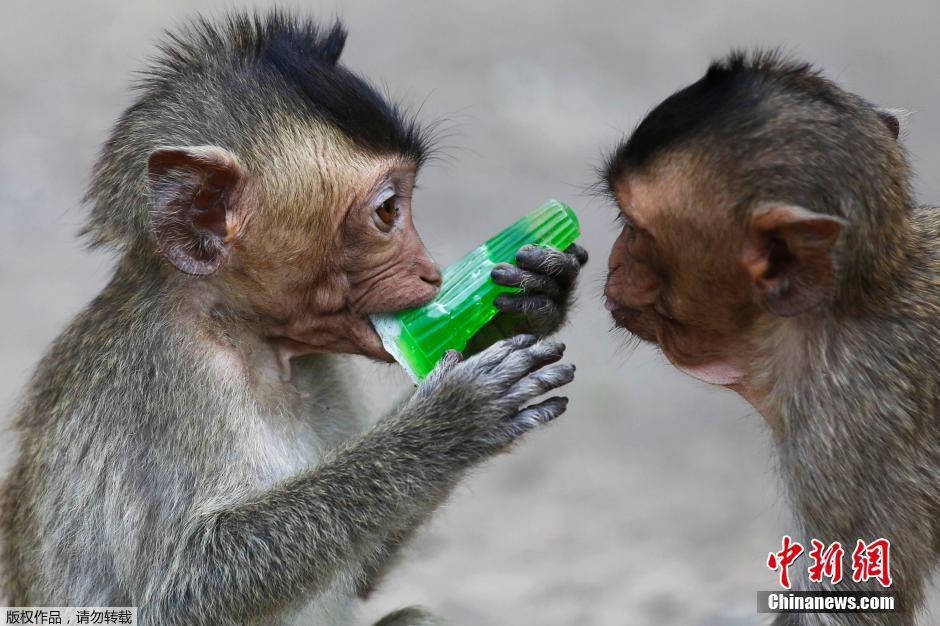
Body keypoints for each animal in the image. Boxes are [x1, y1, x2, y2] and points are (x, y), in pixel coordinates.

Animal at [1, 13, 588, 624]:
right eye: (388, 211)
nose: (431, 273)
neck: (241, 333)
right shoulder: (166, 380)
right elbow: (177, 593)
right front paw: (446, 424)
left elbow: (364, 568)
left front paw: (528, 306)